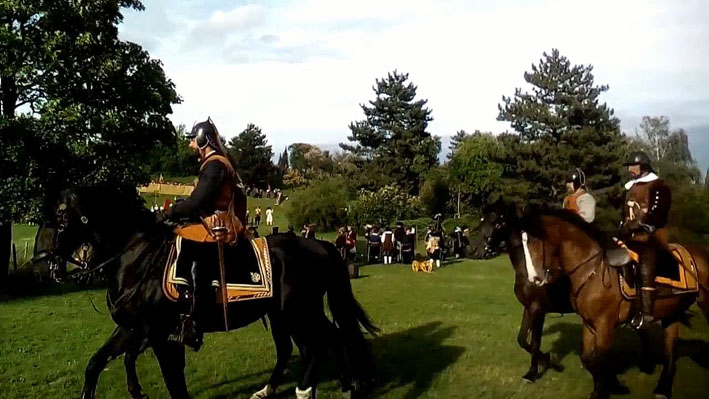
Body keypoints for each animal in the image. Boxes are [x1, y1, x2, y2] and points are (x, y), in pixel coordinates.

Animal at [34, 188, 376, 399]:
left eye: (62, 218)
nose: (40, 262)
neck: (138, 256)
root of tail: (319, 245)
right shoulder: (134, 329)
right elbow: (97, 363)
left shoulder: (159, 336)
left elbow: (174, 382)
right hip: (284, 315)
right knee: (307, 344)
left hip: (298, 313)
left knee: (322, 342)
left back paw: (315, 389)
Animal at [516, 209, 708, 399]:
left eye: (535, 240)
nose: (534, 279)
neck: (592, 270)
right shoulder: (589, 323)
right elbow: (588, 358)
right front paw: (613, 386)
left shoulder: (604, 324)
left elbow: (599, 360)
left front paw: (603, 391)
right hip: (672, 313)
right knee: (671, 349)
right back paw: (663, 388)